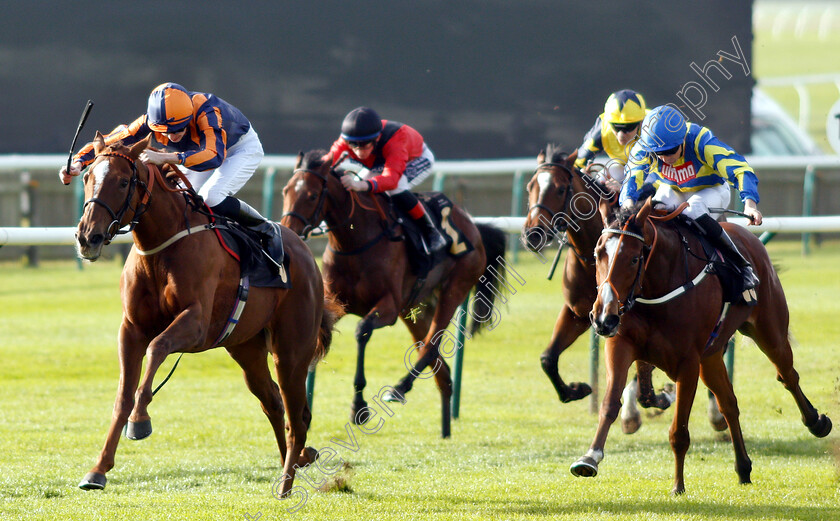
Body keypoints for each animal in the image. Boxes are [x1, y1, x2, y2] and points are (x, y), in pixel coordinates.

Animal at [73, 131, 342, 496]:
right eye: (88, 177)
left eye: (123, 181)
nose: (88, 237)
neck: (162, 246)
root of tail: (302, 250)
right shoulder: (131, 328)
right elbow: (123, 396)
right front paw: (98, 470)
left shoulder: (196, 323)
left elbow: (157, 348)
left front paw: (141, 421)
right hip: (246, 348)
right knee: (273, 401)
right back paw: (299, 459)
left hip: (291, 351)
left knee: (296, 416)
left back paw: (287, 485)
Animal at [280, 150, 506, 438]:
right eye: (286, 190)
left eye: (311, 195)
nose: (288, 229)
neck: (356, 242)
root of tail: (472, 226)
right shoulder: (334, 304)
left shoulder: (387, 306)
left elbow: (362, 331)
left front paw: (359, 407)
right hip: (412, 309)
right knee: (436, 361)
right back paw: (444, 423)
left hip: (455, 286)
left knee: (430, 346)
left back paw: (399, 389)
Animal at [520, 144, 672, 428]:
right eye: (529, 186)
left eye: (560, 189)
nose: (532, 235)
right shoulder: (578, 313)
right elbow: (548, 358)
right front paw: (575, 390)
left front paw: (657, 397)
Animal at [576, 197, 832, 494]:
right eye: (598, 254)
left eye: (634, 258)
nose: (602, 316)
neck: (657, 289)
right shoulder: (621, 344)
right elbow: (609, 405)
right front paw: (589, 458)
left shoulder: (688, 363)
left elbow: (679, 430)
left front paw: (678, 485)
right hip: (710, 356)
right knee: (729, 403)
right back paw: (743, 468)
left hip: (770, 331)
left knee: (788, 375)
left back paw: (816, 422)